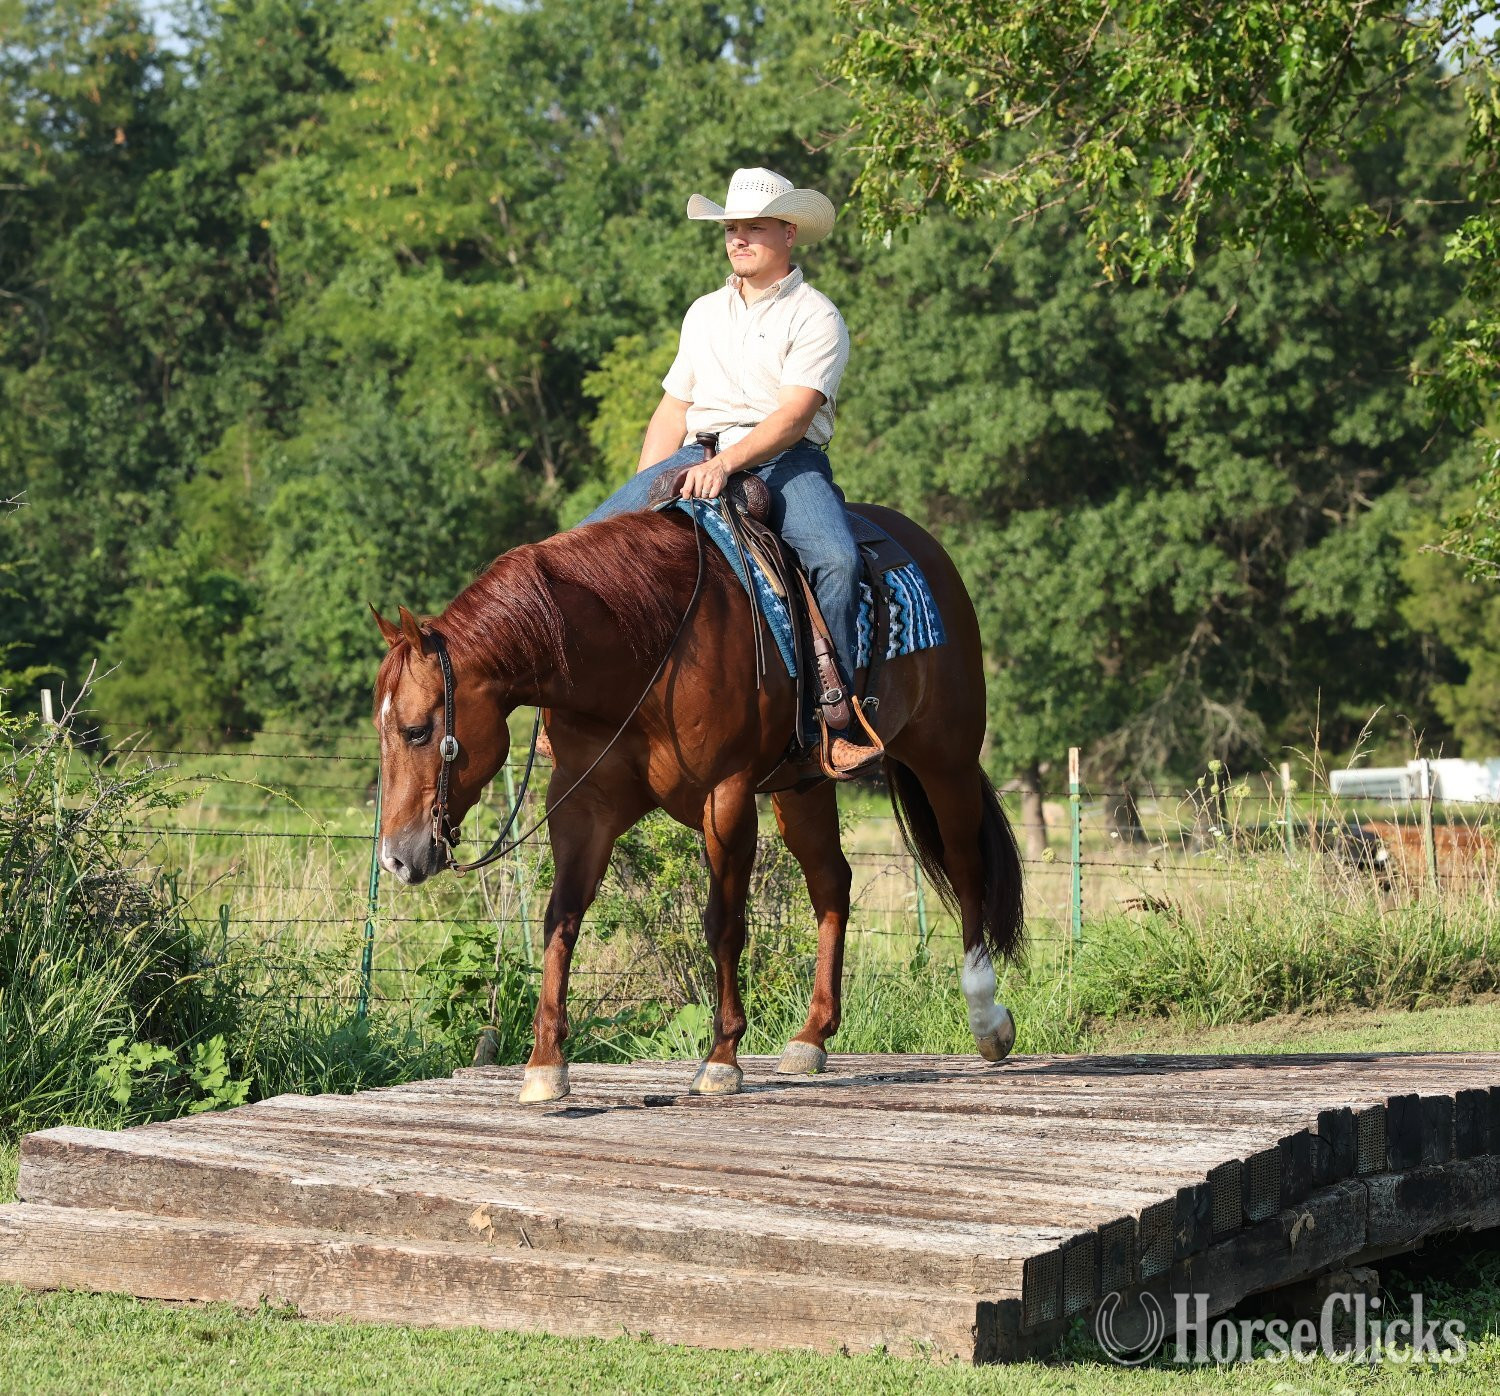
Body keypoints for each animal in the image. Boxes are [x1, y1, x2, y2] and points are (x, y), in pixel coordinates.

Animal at [371, 502, 1024, 1103]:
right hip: (804, 788)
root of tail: (925, 548)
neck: (643, 650)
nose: (397, 859)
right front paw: (544, 1064)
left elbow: (724, 924)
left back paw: (986, 1019)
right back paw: (811, 1037)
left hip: (945, 758)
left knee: (966, 868)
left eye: (417, 731)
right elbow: (562, 918)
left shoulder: (726, 798)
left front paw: (721, 1058)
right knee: (832, 881)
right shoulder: (585, 805)